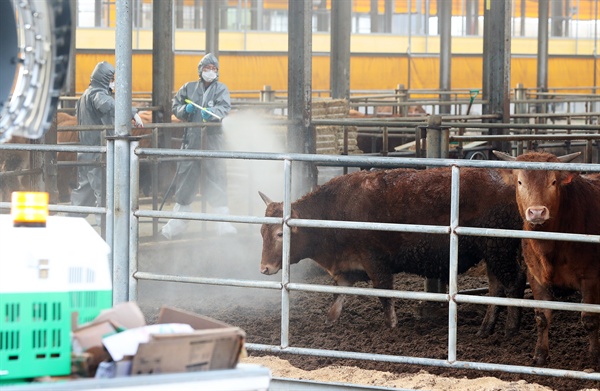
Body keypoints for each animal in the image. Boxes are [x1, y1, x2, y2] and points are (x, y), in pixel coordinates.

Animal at [258, 166, 524, 336]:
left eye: (280, 234)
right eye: (261, 231)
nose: (264, 268)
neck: (335, 210)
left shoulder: (375, 261)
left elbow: (384, 294)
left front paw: (392, 327)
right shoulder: (346, 267)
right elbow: (337, 300)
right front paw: (329, 323)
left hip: (500, 249)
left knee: (513, 284)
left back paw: (510, 329)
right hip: (492, 251)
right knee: (496, 288)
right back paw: (486, 329)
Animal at [492, 151, 600, 370]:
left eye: (553, 181)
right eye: (520, 181)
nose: (537, 212)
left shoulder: (591, 278)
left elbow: (590, 319)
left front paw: (593, 360)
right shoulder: (536, 277)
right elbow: (542, 317)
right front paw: (540, 356)